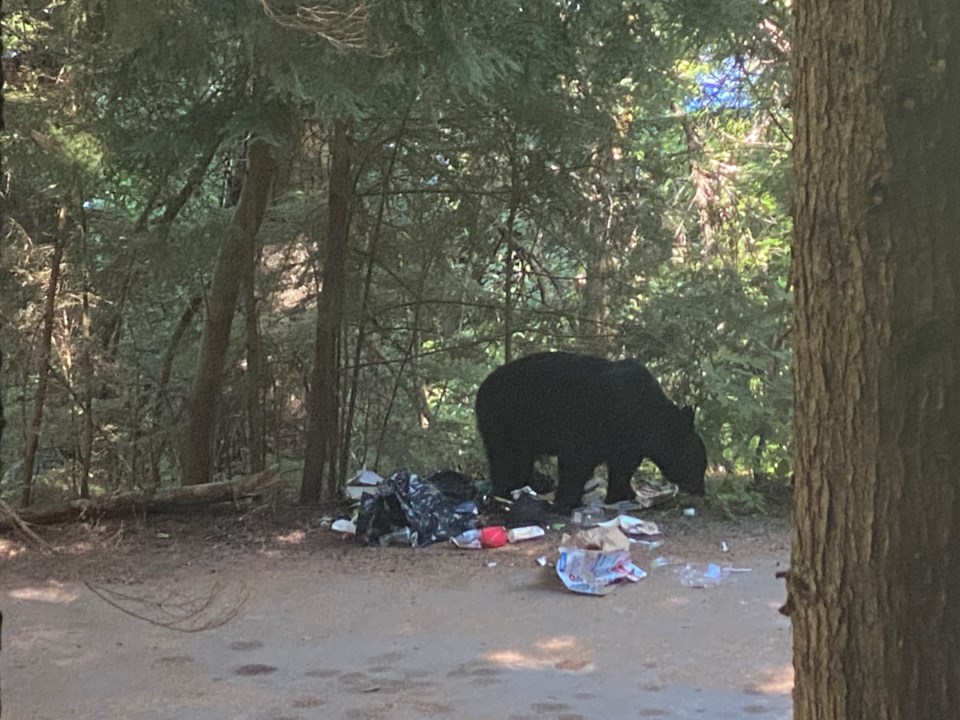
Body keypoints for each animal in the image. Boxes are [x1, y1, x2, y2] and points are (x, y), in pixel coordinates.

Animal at [474, 352, 704, 510]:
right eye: (697, 463)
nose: (701, 490)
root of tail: (482, 387)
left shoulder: (627, 442)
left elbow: (623, 466)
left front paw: (623, 494)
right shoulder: (593, 425)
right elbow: (577, 461)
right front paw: (565, 502)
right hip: (508, 421)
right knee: (510, 461)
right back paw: (506, 493)